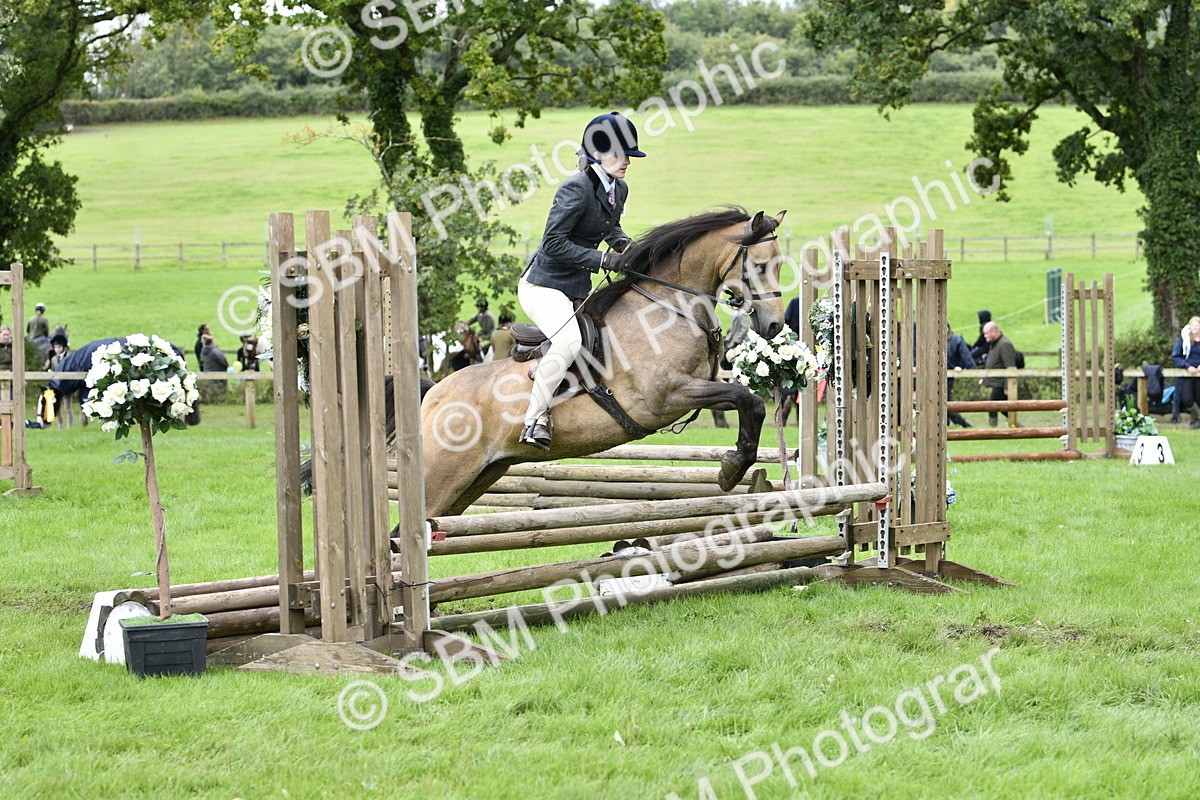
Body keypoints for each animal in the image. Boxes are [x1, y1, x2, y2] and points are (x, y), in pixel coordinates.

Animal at [417, 208, 788, 517]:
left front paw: (733, 467)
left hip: (478, 478)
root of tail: (432, 396)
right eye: (759, 266)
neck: (669, 306)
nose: (774, 326)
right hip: (443, 478)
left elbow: (750, 401)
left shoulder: (701, 387)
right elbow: (743, 396)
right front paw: (731, 468)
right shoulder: (667, 396)